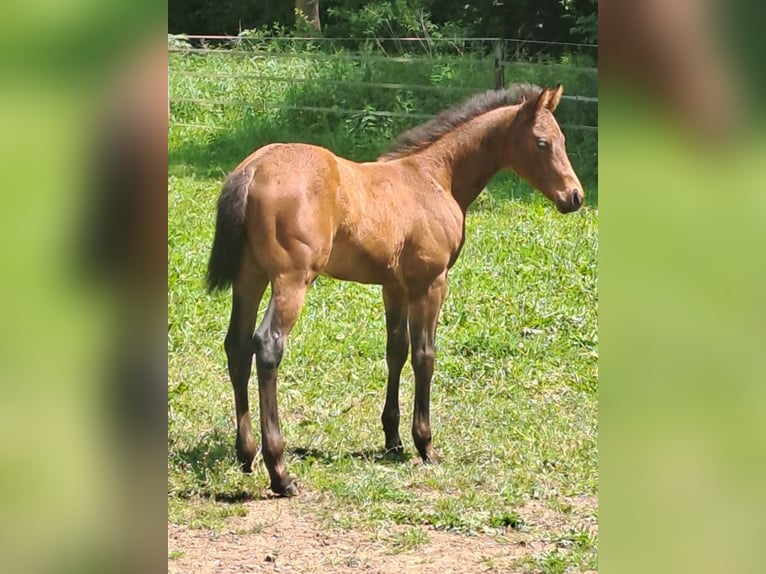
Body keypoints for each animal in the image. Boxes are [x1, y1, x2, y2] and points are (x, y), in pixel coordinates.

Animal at [206, 83, 584, 497]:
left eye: (563, 140)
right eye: (542, 143)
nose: (575, 197)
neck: (436, 177)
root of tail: (252, 169)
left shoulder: (394, 287)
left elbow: (396, 352)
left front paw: (393, 439)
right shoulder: (431, 284)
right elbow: (424, 356)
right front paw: (425, 444)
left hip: (250, 277)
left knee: (237, 345)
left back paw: (246, 454)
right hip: (291, 279)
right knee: (267, 345)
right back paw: (280, 471)